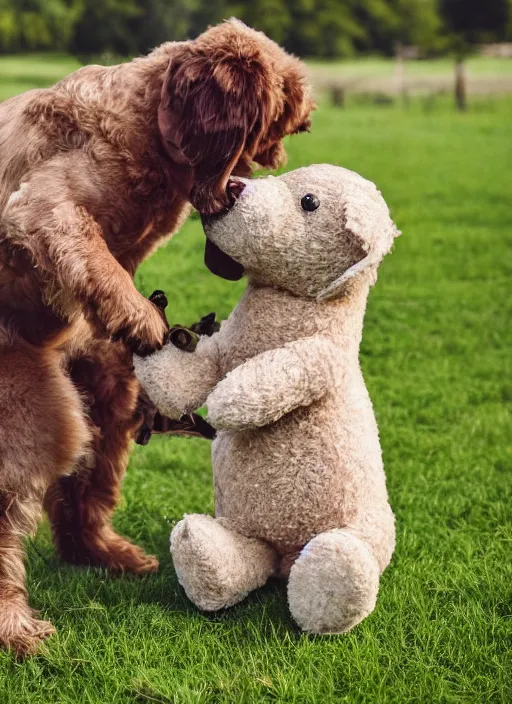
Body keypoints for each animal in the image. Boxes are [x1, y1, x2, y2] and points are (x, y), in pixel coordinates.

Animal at [0, 19, 312, 656]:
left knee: (86, 490)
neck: (146, 130)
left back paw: (108, 555)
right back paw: (17, 629)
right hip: (35, 413)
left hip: (100, 393)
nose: (242, 193)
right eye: (263, 138)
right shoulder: (41, 207)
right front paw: (144, 317)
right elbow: (88, 251)